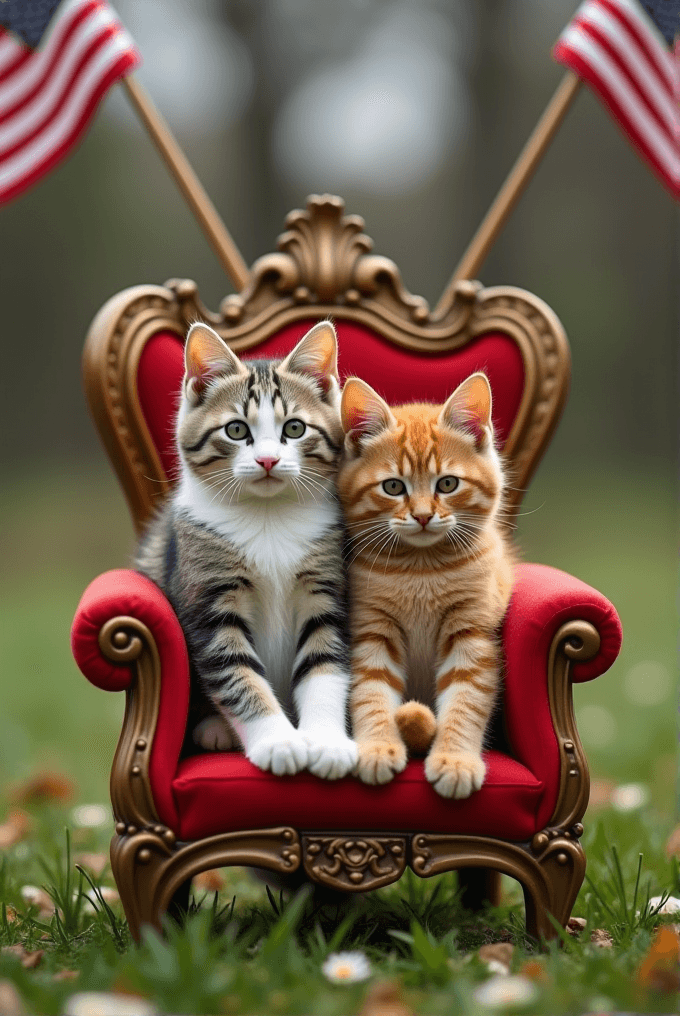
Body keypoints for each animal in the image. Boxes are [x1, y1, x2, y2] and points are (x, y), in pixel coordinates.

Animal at [135, 321, 357, 780]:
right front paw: (277, 742)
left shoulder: (327, 587)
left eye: (295, 428)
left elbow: (325, 663)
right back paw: (216, 728)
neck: (268, 515)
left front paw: (326, 741)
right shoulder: (208, 596)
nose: (268, 461)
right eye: (236, 430)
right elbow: (237, 672)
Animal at [339, 373, 514, 800]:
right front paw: (377, 747)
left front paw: (455, 760)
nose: (421, 516)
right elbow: (370, 692)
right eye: (392, 487)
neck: (421, 569)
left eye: (447, 483)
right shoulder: (372, 630)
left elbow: (466, 699)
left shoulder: (471, 632)